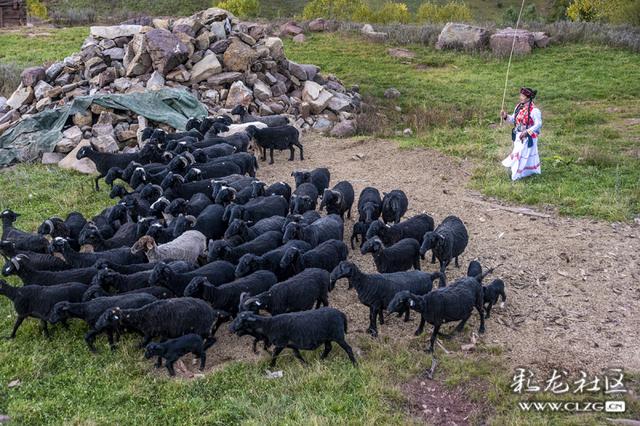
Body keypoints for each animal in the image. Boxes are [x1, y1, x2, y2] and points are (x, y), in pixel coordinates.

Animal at [230, 308, 358, 368]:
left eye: (239, 320)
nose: (229, 328)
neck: (267, 326)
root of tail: (341, 314)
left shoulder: (281, 343)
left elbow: (274, 354)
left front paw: (271, 366)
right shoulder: (291, 344)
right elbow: (297, 355)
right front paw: (306, 364)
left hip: (338, 335)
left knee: (348, 348)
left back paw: (354, 364)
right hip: (327, 337)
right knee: (328, 348)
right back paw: (321, 359)